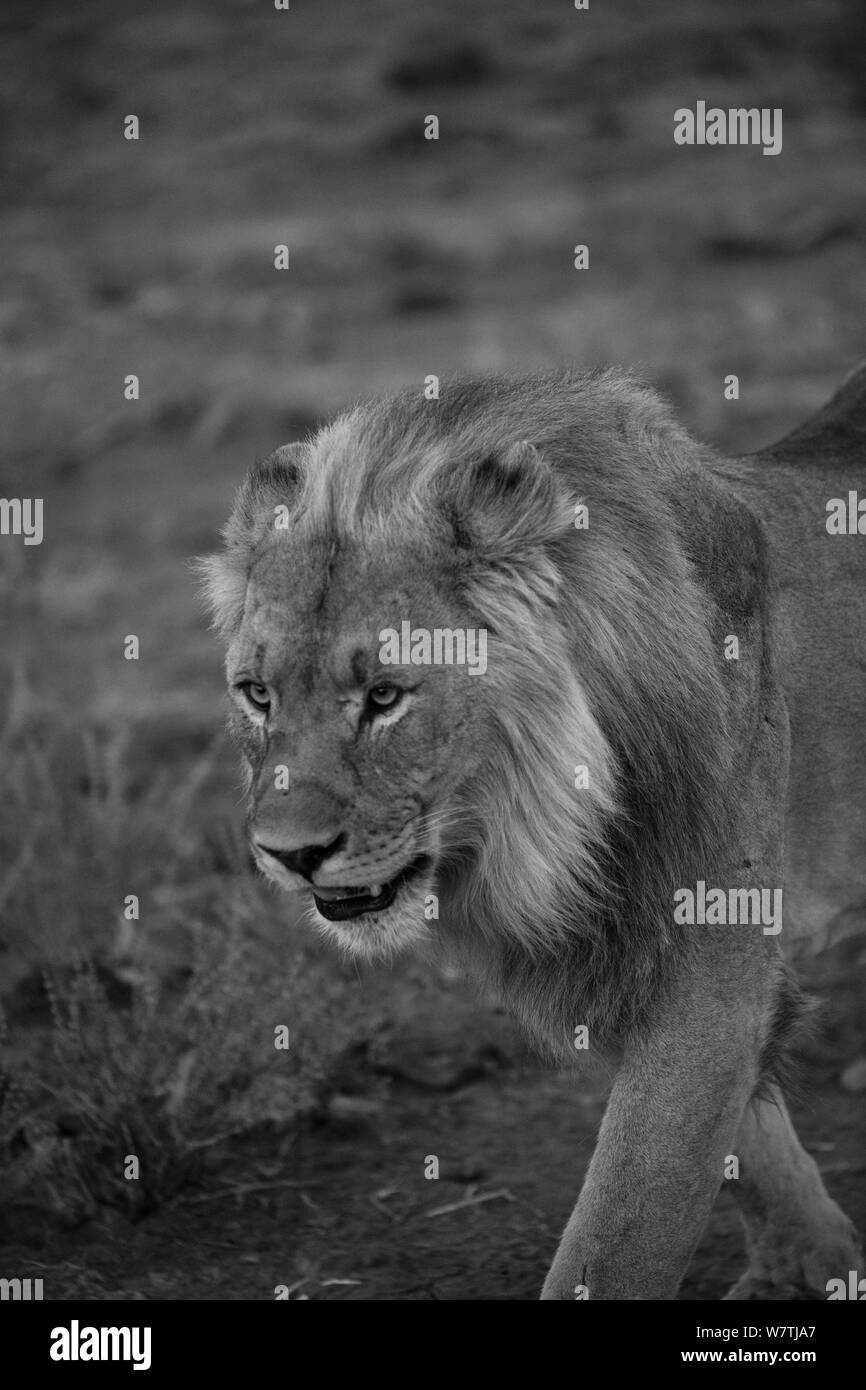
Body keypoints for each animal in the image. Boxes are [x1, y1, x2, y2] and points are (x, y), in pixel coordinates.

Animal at [201, 364, 865, 1300]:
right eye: (257, 694)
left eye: (385, 697)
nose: (289, 856)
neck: (540, 838)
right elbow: (751, 1155)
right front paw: (810, 1267)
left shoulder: (705, 974)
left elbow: (619, 1234)